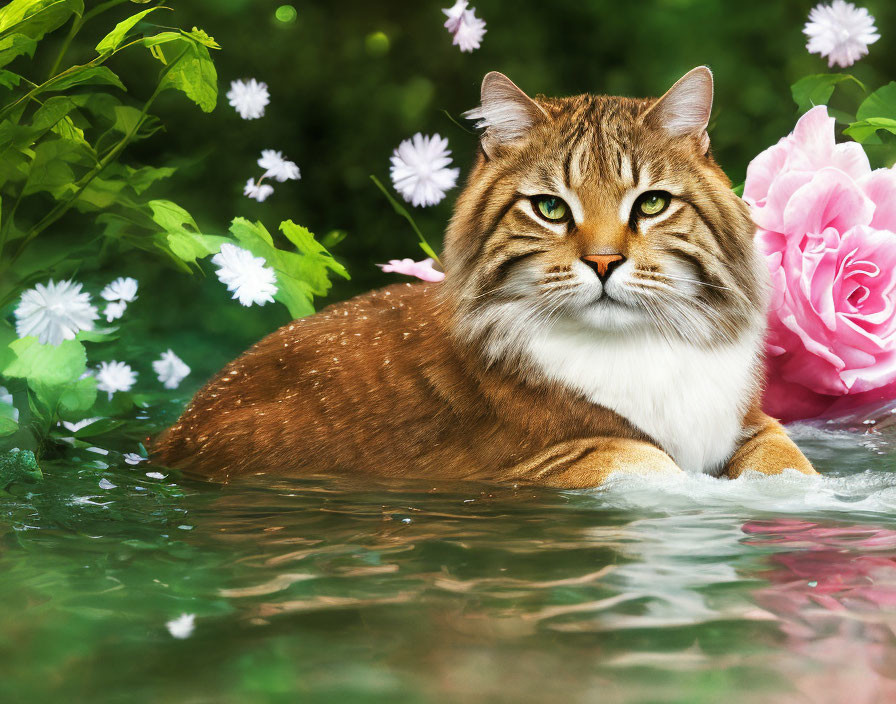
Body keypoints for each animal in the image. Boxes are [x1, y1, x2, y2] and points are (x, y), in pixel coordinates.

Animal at [156, 69, 820, 486]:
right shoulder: (530, 463)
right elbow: (645, 459)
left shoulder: (752, 423)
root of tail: (170, 434)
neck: (637, 343)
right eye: (550, 208)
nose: (605, 263)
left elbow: (789, 464)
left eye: (652, 204)